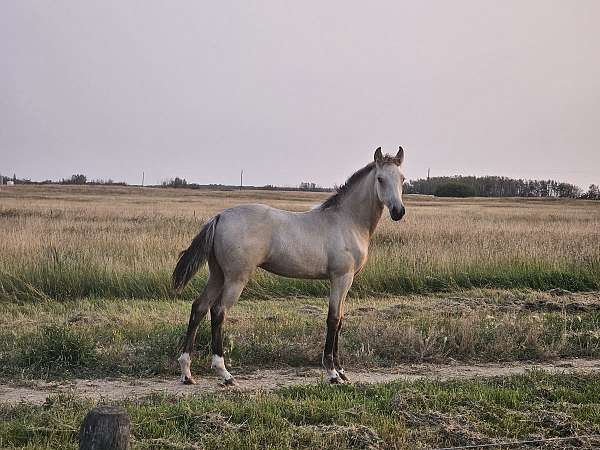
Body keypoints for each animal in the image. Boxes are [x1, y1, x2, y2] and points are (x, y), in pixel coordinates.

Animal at [173, 146, 408, 384]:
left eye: (402, 179)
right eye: (380, 179)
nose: (398, 211)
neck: (346, 221)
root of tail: (220, 217)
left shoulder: (345, 280)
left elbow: (340, 319)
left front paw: (342, 371)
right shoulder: (341, 278)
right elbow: (333, 319)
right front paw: (332, 372)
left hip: (217, 275)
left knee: (199, 308)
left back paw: (187, 372)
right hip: (235, 278)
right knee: (218, 311)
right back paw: (224, 373)